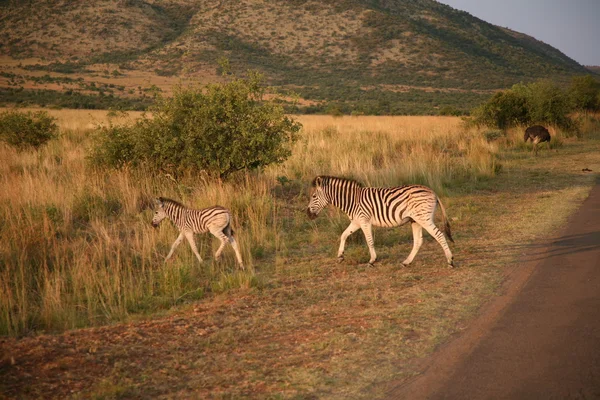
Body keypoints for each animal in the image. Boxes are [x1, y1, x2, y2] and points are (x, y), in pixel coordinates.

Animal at [308, 176, 452, 268]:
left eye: (314, 196)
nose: (308, 214)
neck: (352, 200)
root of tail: (432, 192)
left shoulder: (364, 220)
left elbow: (369, 241)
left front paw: (372, 260)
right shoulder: (356, 222)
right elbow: (343, 235)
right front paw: (340, 256)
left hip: (423, 218)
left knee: (439, 235)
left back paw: (450, 260)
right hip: (415, 220)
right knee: (418, 241)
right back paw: (407, 262)